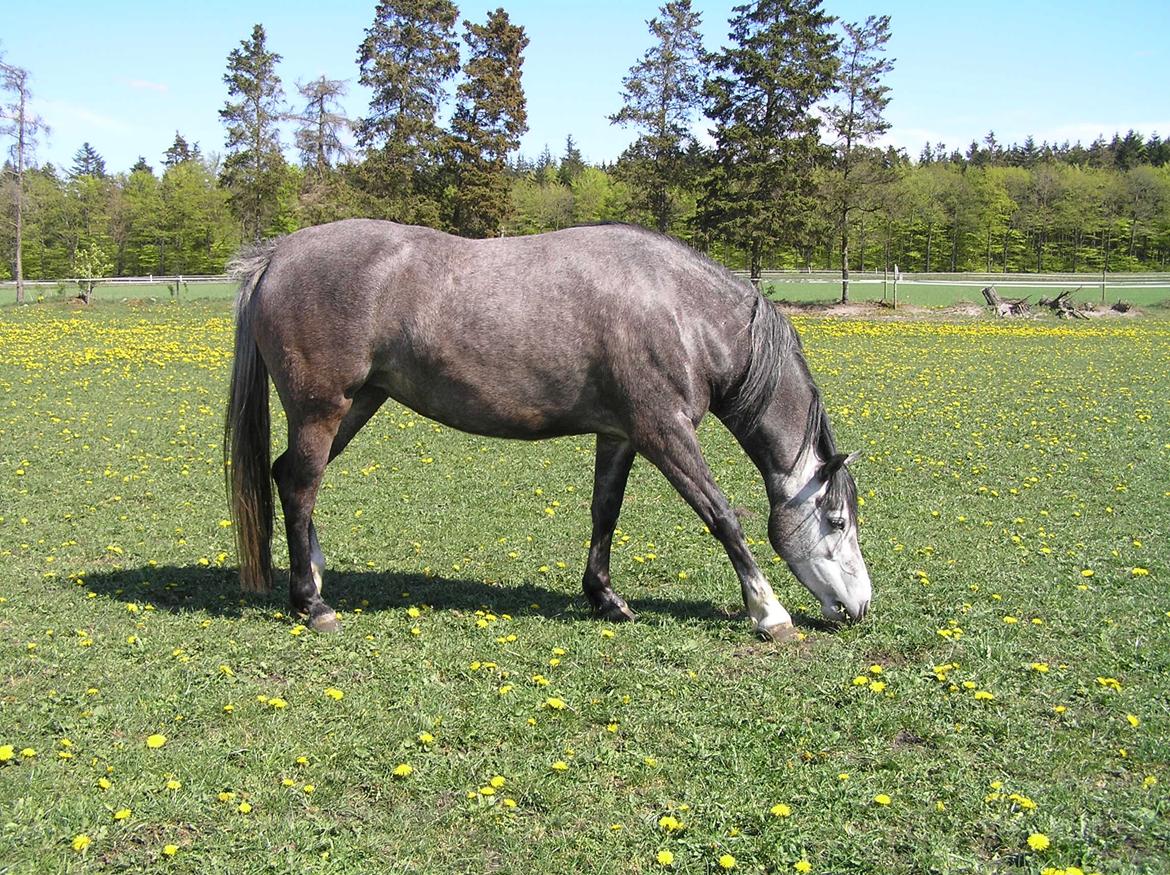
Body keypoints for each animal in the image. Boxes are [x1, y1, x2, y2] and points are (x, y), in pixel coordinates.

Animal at [224, 219, 872, 640]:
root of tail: (277, 256)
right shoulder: (664, 434)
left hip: (358, 404)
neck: (678, 310)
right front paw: (770, 613)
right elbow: (722, 515)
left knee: (289, 477)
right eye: (837, 521)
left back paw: (313, 572)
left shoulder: (621, 436)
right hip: (322, 409)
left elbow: (605, 513)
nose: (860, 607)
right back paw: (312, 604)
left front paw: (606, 599)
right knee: (300, 486)